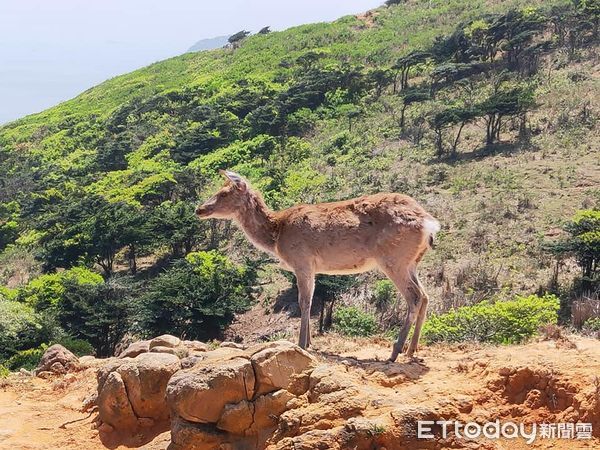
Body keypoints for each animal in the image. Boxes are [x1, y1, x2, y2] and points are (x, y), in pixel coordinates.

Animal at [197, 170, 440, 362]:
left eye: (224, 193)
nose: (199, 209)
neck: (277, 234)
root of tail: (429, 223)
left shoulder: (301, 260)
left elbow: (303, 302)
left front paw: (301, 343)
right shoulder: (313, 267)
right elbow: (312, 298)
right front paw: (310, 341)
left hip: (393, 258)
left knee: (415, 296)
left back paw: (395, 351)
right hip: (411, 261)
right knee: (426, 296)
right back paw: (411, 350)